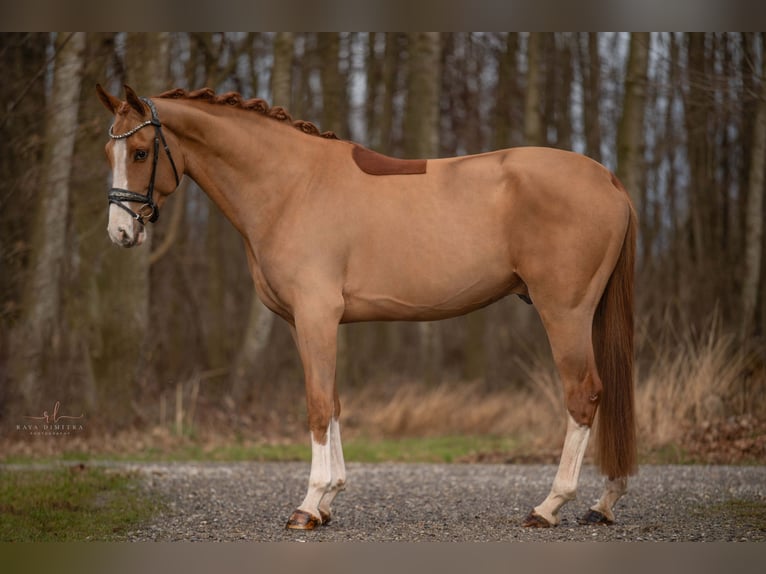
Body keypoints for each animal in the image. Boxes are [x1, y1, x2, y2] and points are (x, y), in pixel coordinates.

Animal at [97, 84, 636, 532]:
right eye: (108, 152)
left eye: (140, 152)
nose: (120, 233)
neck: (292, 186)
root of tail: (609, 179)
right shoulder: (306, 323)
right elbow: (333, 402)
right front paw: (328, 501)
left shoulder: (316, 316)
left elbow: (317, 406)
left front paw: (307, 506)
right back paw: (604, 503)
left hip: (564, 312)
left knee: (583, 395)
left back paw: (550, 506)